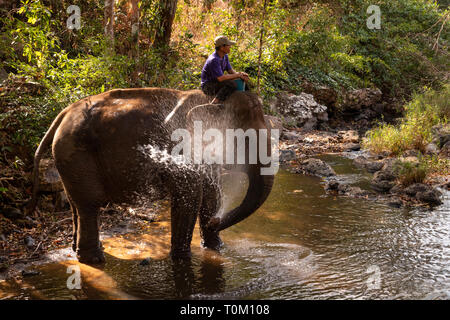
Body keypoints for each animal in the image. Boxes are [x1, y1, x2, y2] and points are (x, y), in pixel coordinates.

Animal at [29, 87, 276, 262]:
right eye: (244, 139)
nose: (215, 221)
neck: (211, 99)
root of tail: (62, 114)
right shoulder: (182, 149)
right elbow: (190, 195)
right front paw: (182, 259)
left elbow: (212, 193)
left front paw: (215, 247)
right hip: (76, 153)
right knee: (89, 205)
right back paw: (95, 259)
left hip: (69, 159)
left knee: (75, 204)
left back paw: (79, 250)